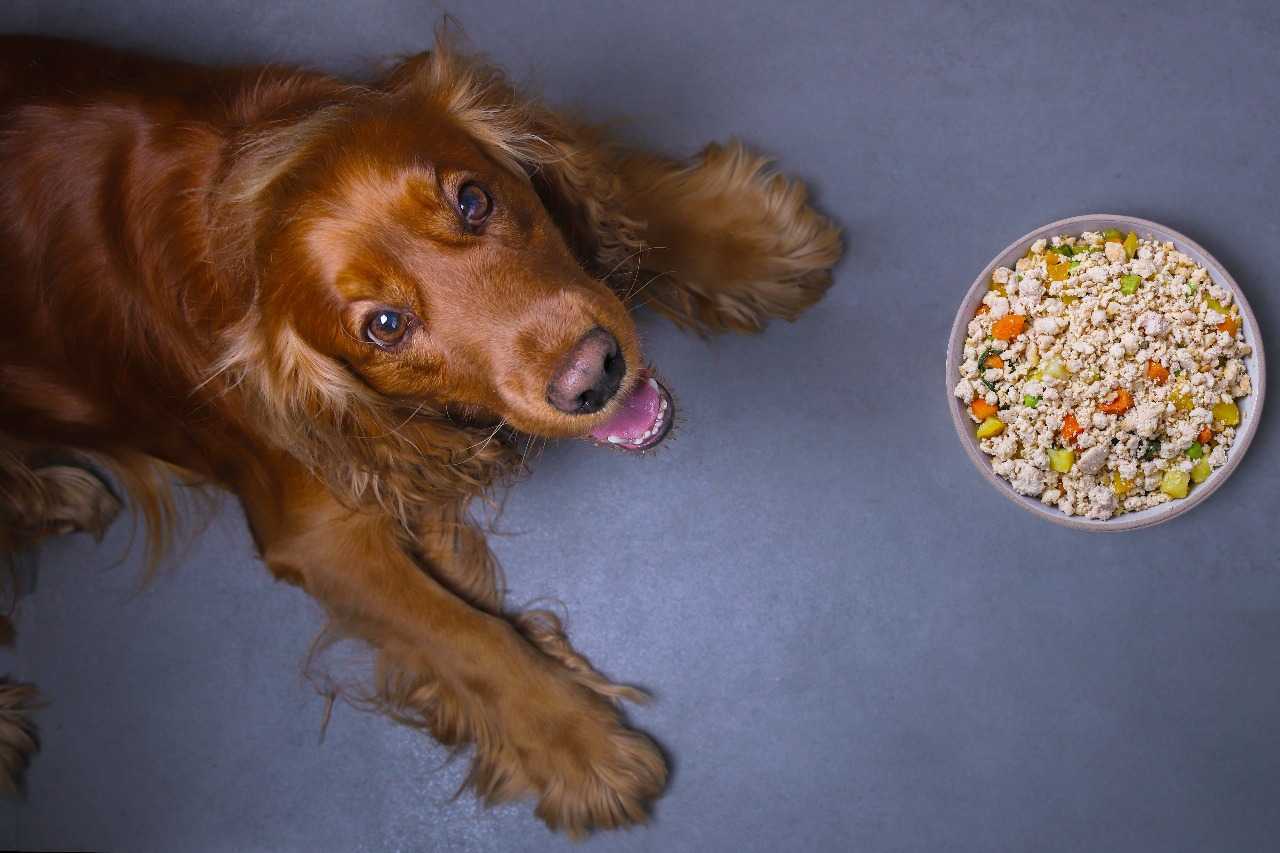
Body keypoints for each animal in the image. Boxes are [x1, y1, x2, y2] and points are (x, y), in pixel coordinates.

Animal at [0, 31, 839, 829]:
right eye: (385, 326)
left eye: (473, 200)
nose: (591, 373)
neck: (235, 193)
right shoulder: (311, 532)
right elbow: (465, 634)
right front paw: (582, 749)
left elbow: (614, 186)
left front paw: (745, 237)